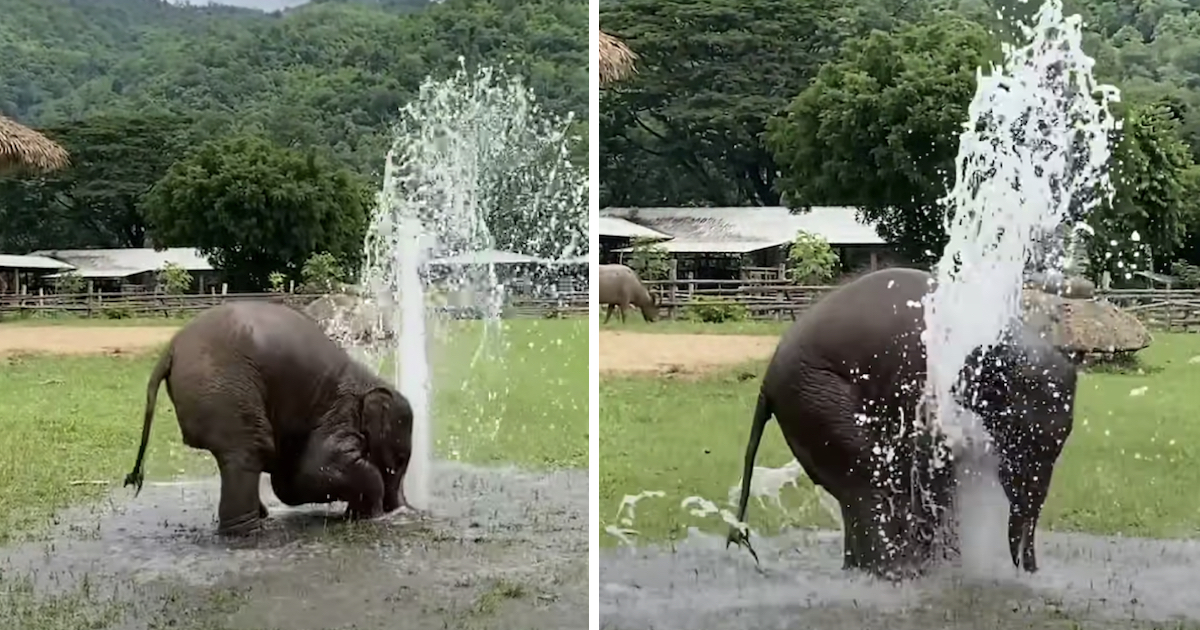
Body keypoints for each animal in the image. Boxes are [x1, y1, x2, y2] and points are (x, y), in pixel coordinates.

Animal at [122, 297, 412, 532]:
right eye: (398, 461)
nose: (401, 511)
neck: (367, 381)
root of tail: (170, 350)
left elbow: (290, 483)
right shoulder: (340, 413)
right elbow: (314, 470)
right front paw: (372, 517)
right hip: (226, 391)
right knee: (248, 451)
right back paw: (250, 531)